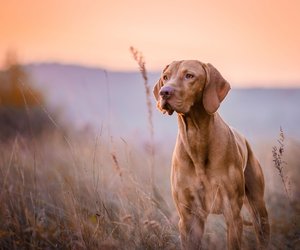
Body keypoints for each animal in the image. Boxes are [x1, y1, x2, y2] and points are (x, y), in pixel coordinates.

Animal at [152, 59, 270, 249]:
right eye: (165, 77)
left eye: (189, 75)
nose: (164, 92)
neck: (196, 138)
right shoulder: (188, 218)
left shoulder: (232, 213)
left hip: (259, 208)